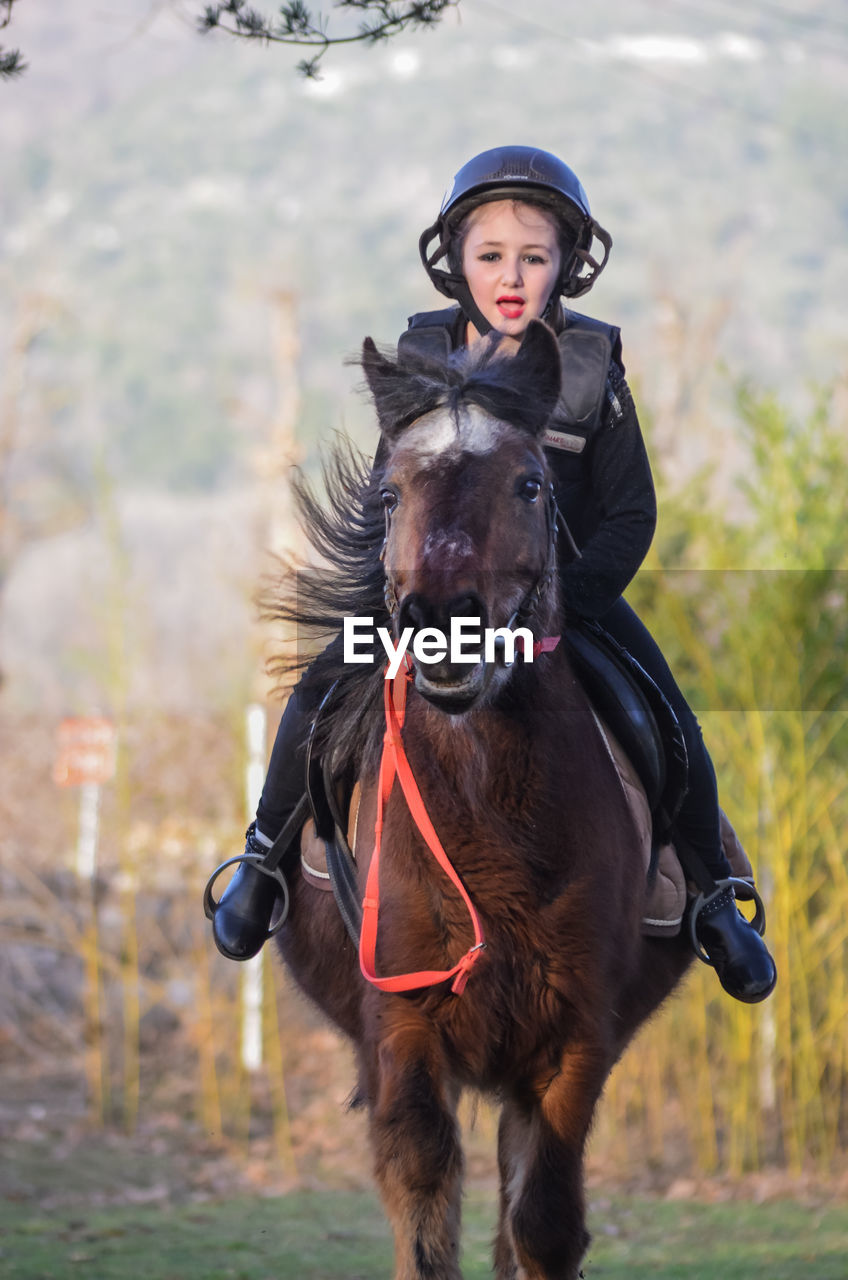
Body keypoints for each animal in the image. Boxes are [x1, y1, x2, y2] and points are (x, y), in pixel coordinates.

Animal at [272, 322, 696, 1280]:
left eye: (530, 482)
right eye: (390, 492)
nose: (443, 626)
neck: (488, 828)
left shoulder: (573, 1043)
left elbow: (542, 1225)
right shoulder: (402, 1032)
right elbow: (426, 1214)